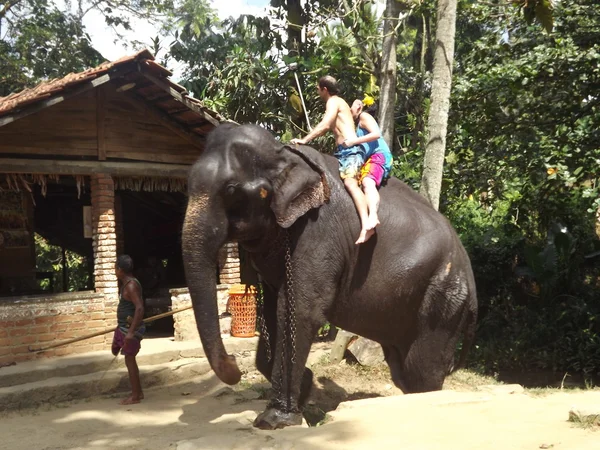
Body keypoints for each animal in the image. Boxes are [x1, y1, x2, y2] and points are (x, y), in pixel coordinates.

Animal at [183, 122, 478, 428]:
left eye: (231, 190)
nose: (232, 362)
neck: (283, 154)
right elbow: (275, 308)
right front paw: (305, 390)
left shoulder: (317, 232)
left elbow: (299, 311)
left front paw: (273, 420)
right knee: (402, 368)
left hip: (442, 300)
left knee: (420, 370)